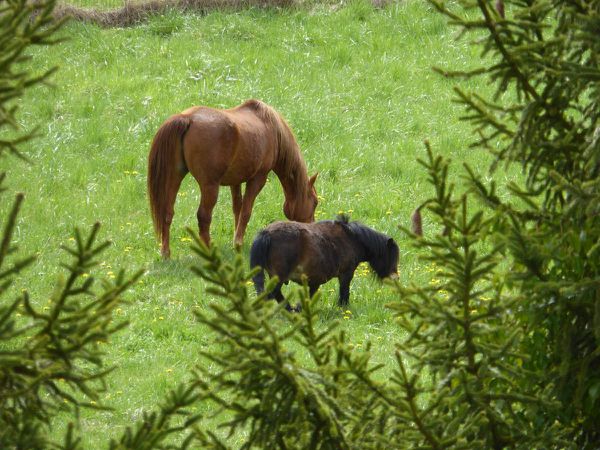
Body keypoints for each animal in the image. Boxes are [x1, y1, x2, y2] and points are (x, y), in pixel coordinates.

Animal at [147, 100, 318, 258]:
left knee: (167, 212)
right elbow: (246, 211)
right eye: (315, 202)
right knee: (203, 217)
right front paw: (238, 242)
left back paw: (166, 253)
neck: (272, 128)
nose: (312, 229)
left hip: (174, 178)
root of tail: (187, 118)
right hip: (210, 186)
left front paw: (236, 240)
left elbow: (237, 208)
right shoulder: (258, 179)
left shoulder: (235, 181)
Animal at [248, 215, 398, 310]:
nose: (395, 278)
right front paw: (343, 307)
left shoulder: (314, 281)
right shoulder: (346, 274)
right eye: (391, 256)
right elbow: (344, 292)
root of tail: (266, 233)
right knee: (271, 295)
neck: (351, 238)